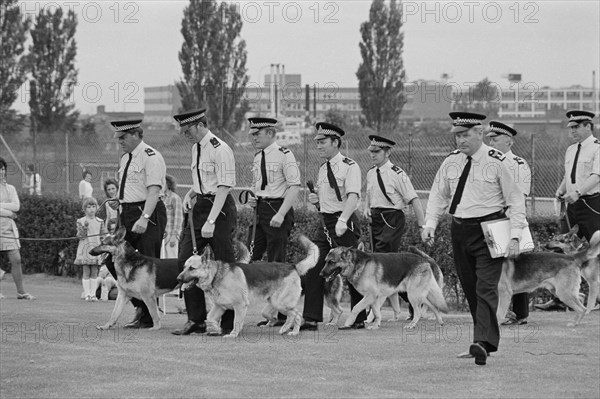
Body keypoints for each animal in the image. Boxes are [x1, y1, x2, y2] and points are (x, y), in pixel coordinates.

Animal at [176, 236, 318, 340]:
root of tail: (293, 266)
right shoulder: (219, 306)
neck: (216, 275)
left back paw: (293, 331)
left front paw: (233, 334)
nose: (178, 279)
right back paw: (283, 328)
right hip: (274, 304)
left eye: (192, 268)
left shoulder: (240, 305)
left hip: (281, 303)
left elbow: (236, 322)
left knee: (297, 315)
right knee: (289, 315)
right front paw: (216, 329)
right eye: (184, 267)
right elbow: (210, 318)